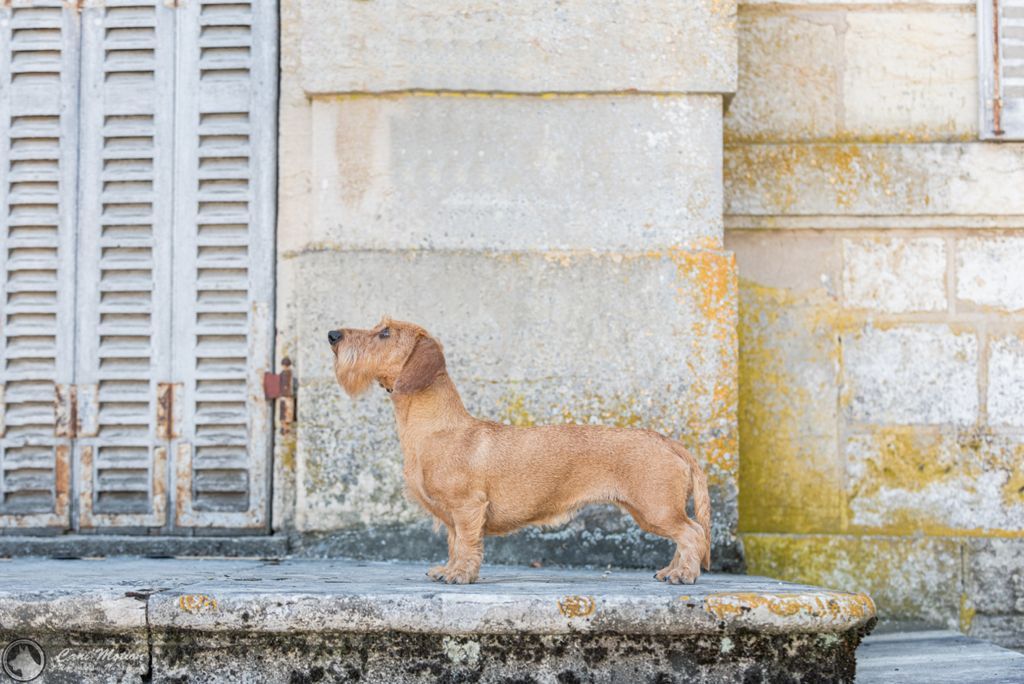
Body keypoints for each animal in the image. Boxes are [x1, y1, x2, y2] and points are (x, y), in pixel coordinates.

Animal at [327, 317, 712, 585]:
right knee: (686, 537)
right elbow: (454, 543)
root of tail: (669, 442)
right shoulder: (453, 517)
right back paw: (672, 570)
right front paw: (447, 569)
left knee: (692, 534)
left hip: (656, 509)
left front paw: (460, 575)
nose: (332, 335)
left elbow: (467, 544)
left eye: (385, 333)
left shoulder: (468, 507)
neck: (436, 427)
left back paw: (684, 575)